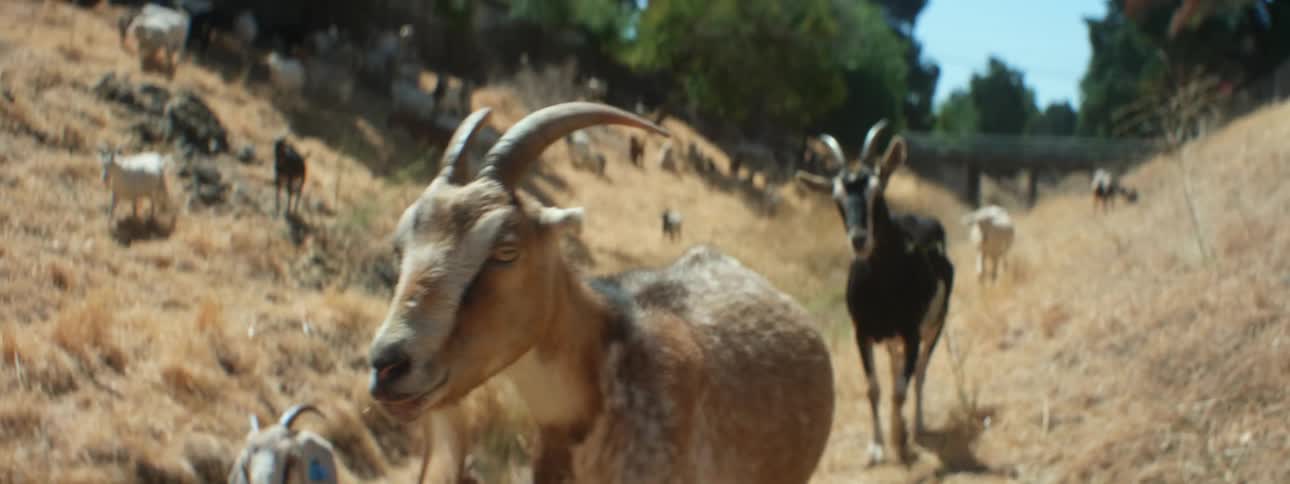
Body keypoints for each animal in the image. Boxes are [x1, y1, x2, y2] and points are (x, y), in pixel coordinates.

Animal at [796, 121, 954, 465]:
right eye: (836, 197)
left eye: (877, 191)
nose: (859, 239)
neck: (882, 286)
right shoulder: (862, 332)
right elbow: (875, 388)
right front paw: (877, 447)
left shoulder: (911, 332)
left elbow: (901, 388)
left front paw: (900, 442)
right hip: (892, 338)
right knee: (898, 370)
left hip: (935, 326)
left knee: (919, 374)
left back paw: (917, 425)